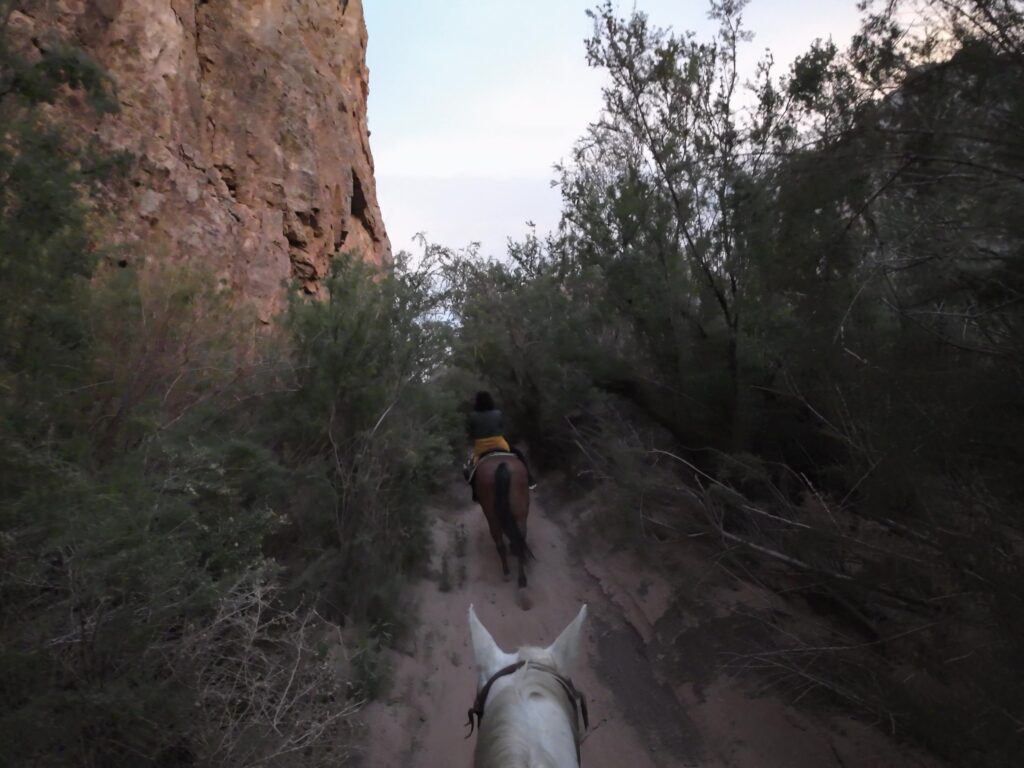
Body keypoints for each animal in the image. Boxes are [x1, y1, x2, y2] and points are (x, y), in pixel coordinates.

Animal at [473, 454, 536, 593]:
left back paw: (511, 574)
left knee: (502, 543)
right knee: (518, 537)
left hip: (494, 516)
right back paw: (518, 577)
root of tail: (502, 466)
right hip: (518, 512)